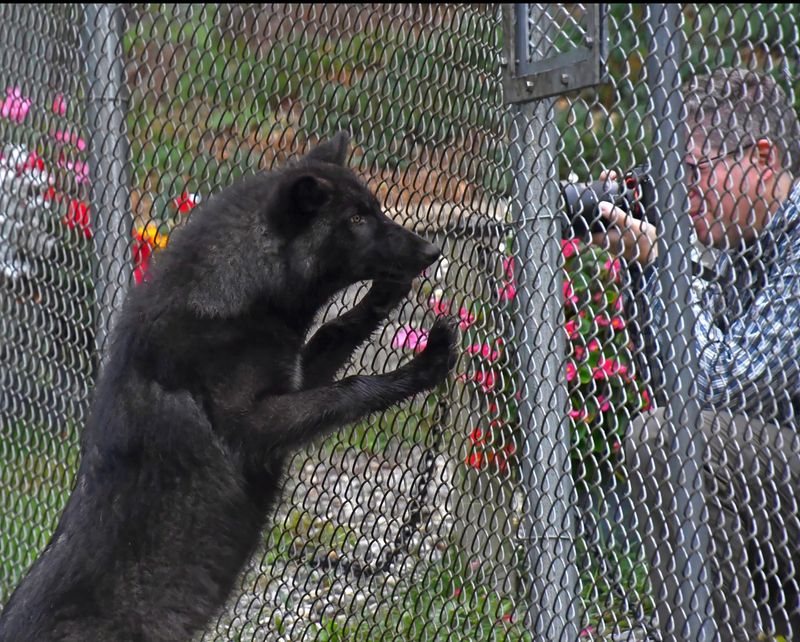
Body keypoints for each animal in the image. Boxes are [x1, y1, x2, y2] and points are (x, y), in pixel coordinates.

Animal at [0, 132, 459, 641]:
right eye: (357, 220)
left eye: (376, 209)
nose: (432, 250)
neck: (234, 294)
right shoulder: (254, 427)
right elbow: (348, 388)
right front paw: (424, 365)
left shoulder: (294, 375)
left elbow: (332, 331)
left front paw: (383, 296)